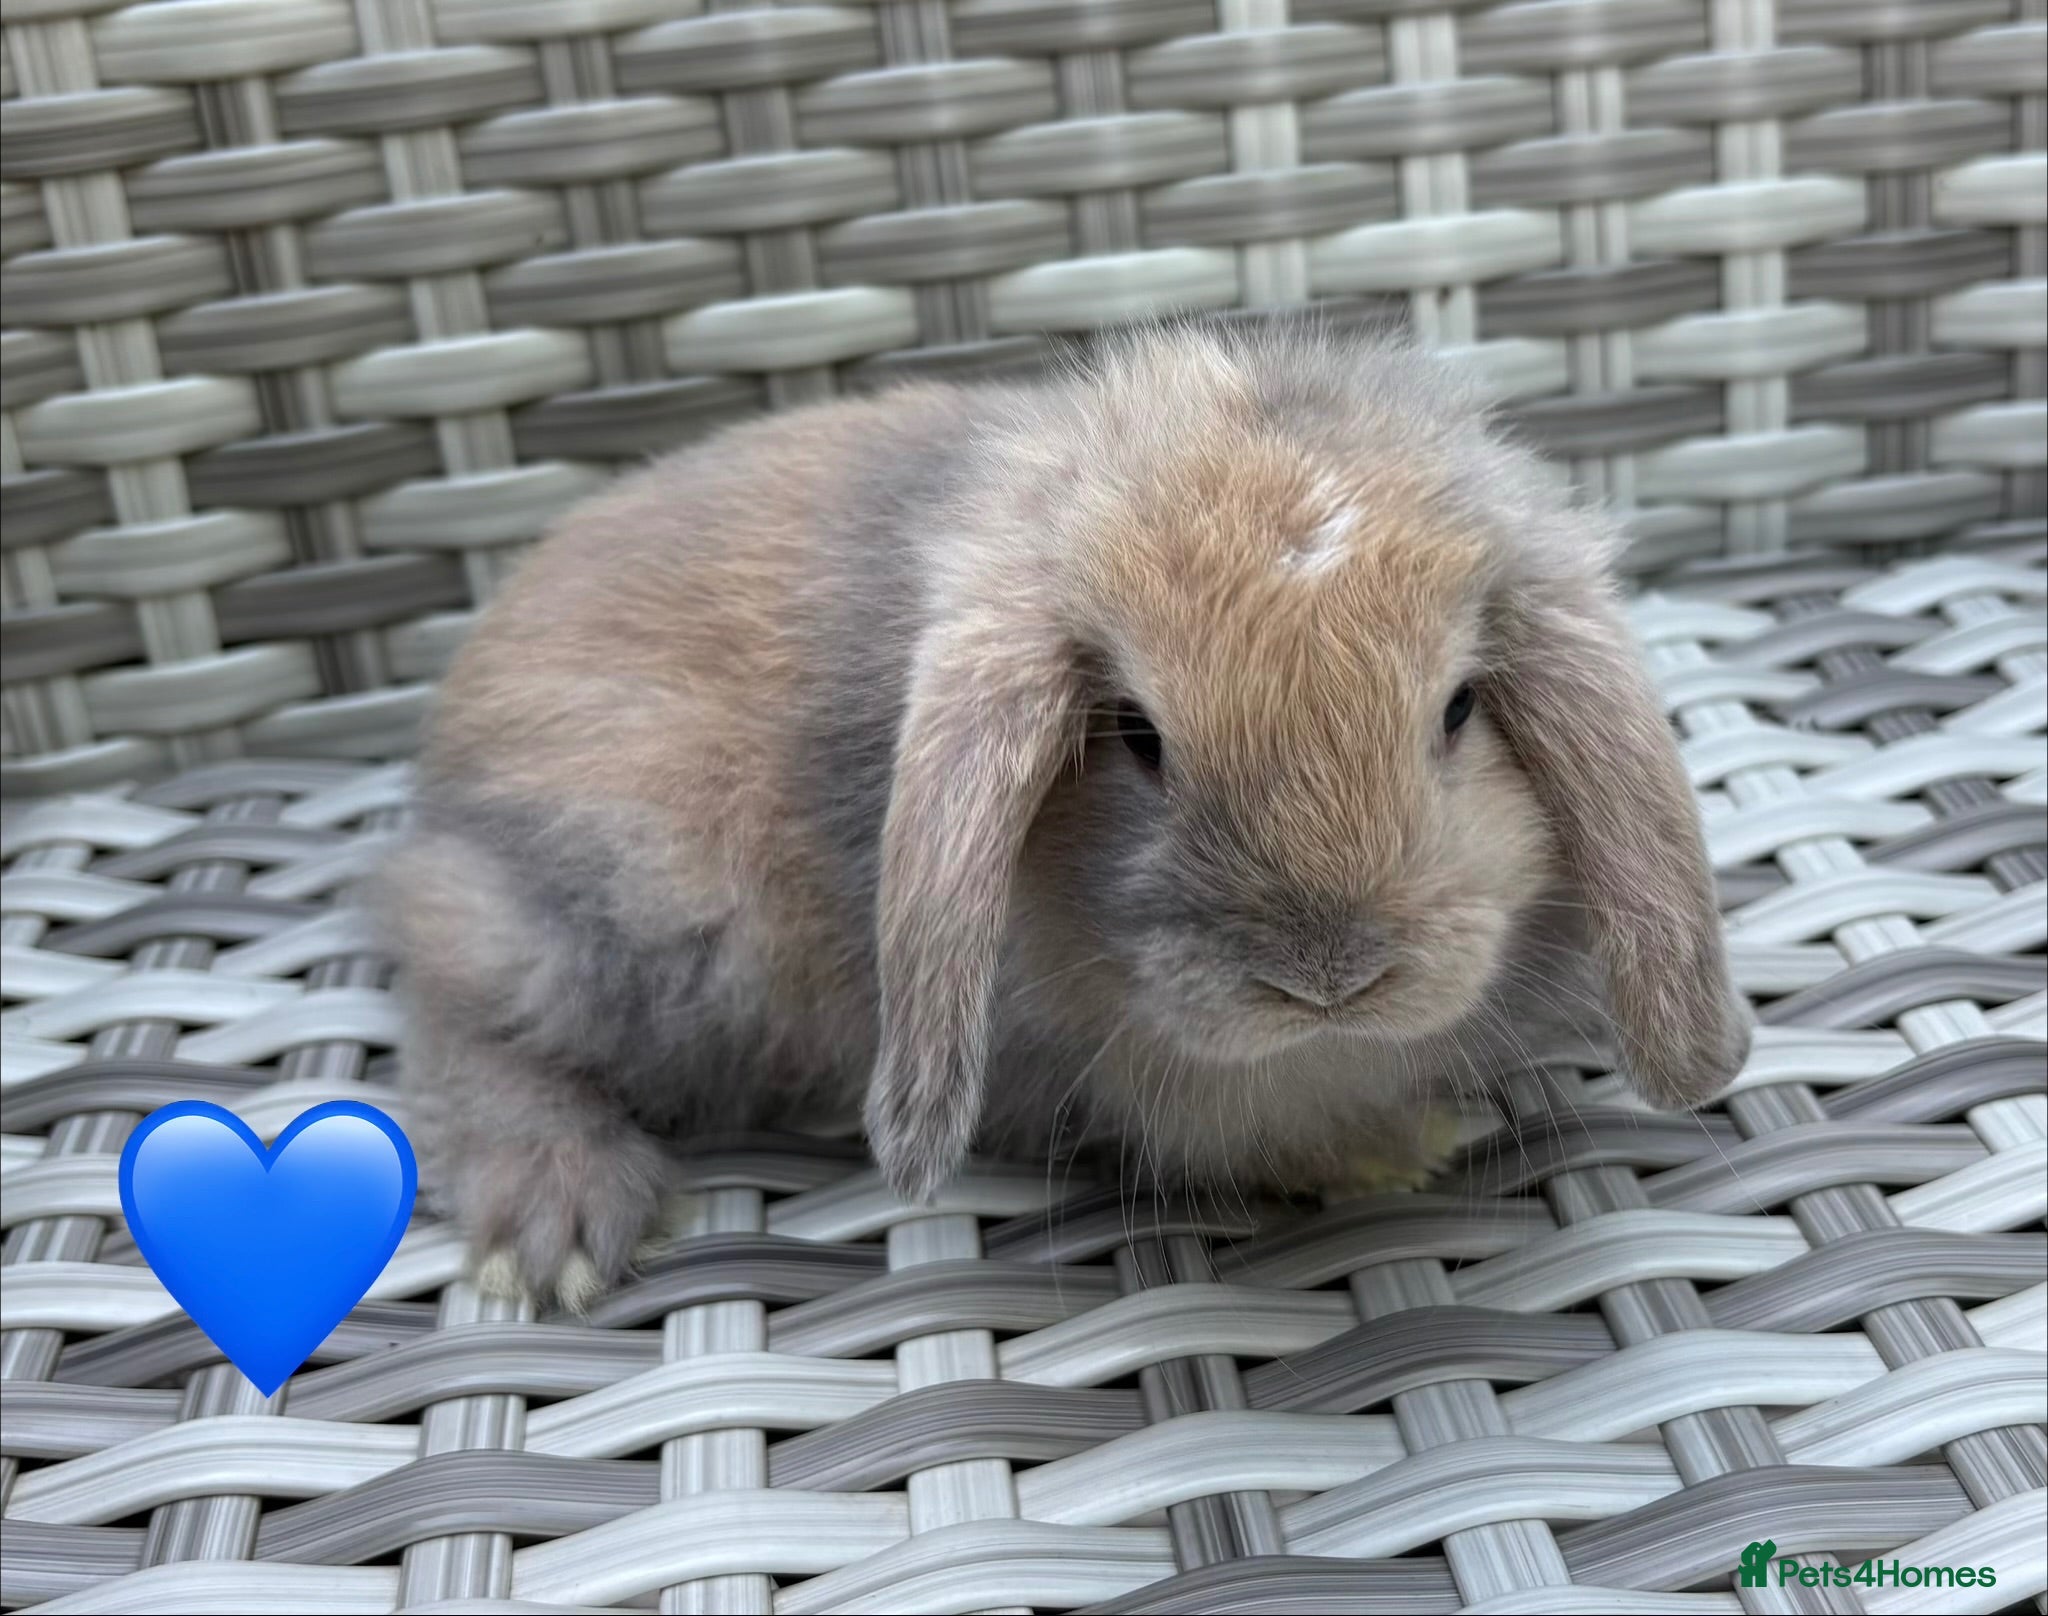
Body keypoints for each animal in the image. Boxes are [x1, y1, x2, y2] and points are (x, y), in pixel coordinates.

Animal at [375, 321, 1749, 1309]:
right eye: (1136, 733)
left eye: (1458, 706)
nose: (1328, 973)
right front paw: (1392, 1151)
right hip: (637, 912)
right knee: (460, 1015)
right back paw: (551, 1229)